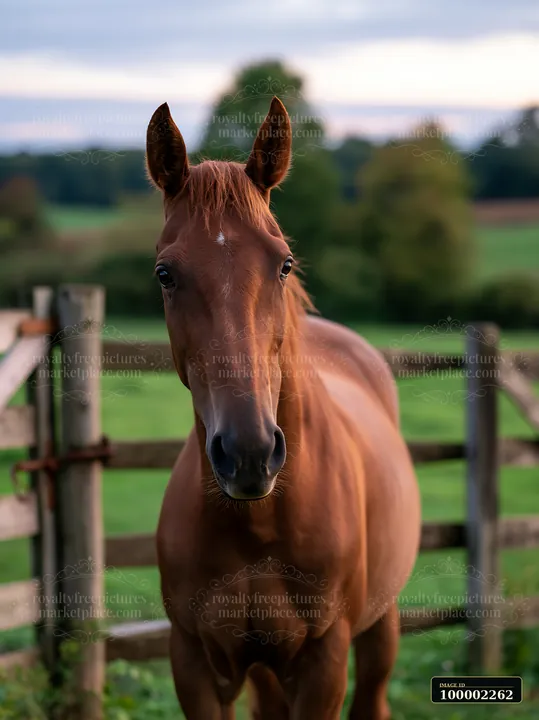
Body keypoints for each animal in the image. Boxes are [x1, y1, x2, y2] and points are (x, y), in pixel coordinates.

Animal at [146, 96, 421, 719]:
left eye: (285, 264)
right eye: (165, 273)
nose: (248, 453)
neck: (258, 526)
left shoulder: (324, 662)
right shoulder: (193, 662)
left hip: (381, 627)